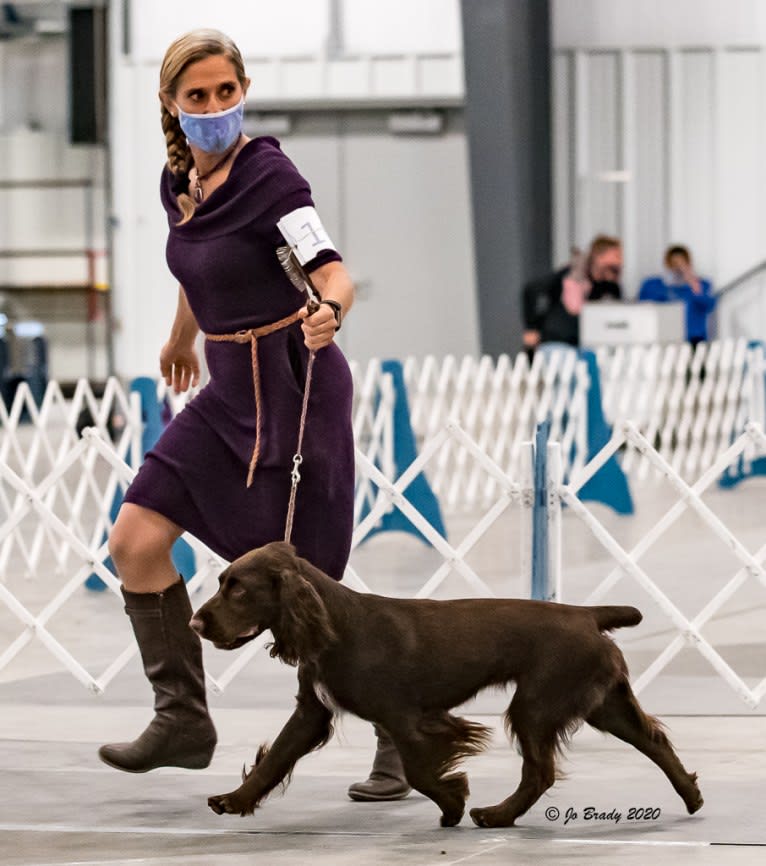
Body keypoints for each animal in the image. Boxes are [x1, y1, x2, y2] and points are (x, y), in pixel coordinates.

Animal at [189, 536, 704, 828]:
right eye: (220, 582)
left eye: (239, 588)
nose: (196, 623)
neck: (335, 625)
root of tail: (586, 615)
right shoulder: (311, 712)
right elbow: (274, 759)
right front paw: (234, 800)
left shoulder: (404, 716)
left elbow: (420, 770)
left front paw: (454, 804)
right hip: (601, 702)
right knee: (654, 741)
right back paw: (693, 797)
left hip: (537, 704)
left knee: (540, 770)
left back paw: (495, 816)